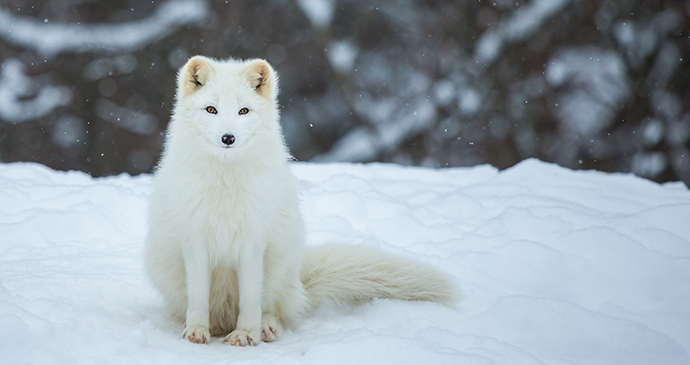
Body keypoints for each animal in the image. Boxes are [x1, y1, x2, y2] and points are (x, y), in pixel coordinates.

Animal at [144, 55, 456, 346]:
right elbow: (198, 296)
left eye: (243, 111)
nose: (228, 137)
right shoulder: (194, 240)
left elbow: (250, 298)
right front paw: (197, 331)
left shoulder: (253, 241)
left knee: (272, 307)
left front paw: (246, 334)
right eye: (211, 109)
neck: (226, 186)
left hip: (279, 264)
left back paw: (265, 327)